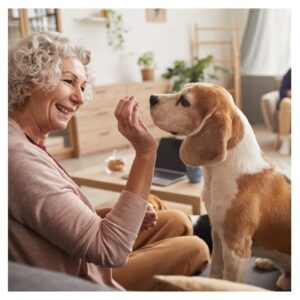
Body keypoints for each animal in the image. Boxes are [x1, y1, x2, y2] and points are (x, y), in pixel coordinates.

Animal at [150, 82, 290, 290]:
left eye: (184, 101)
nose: (151, 98)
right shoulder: (216, 233)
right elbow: (216, 270)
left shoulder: (236, 248)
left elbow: (229, 281)